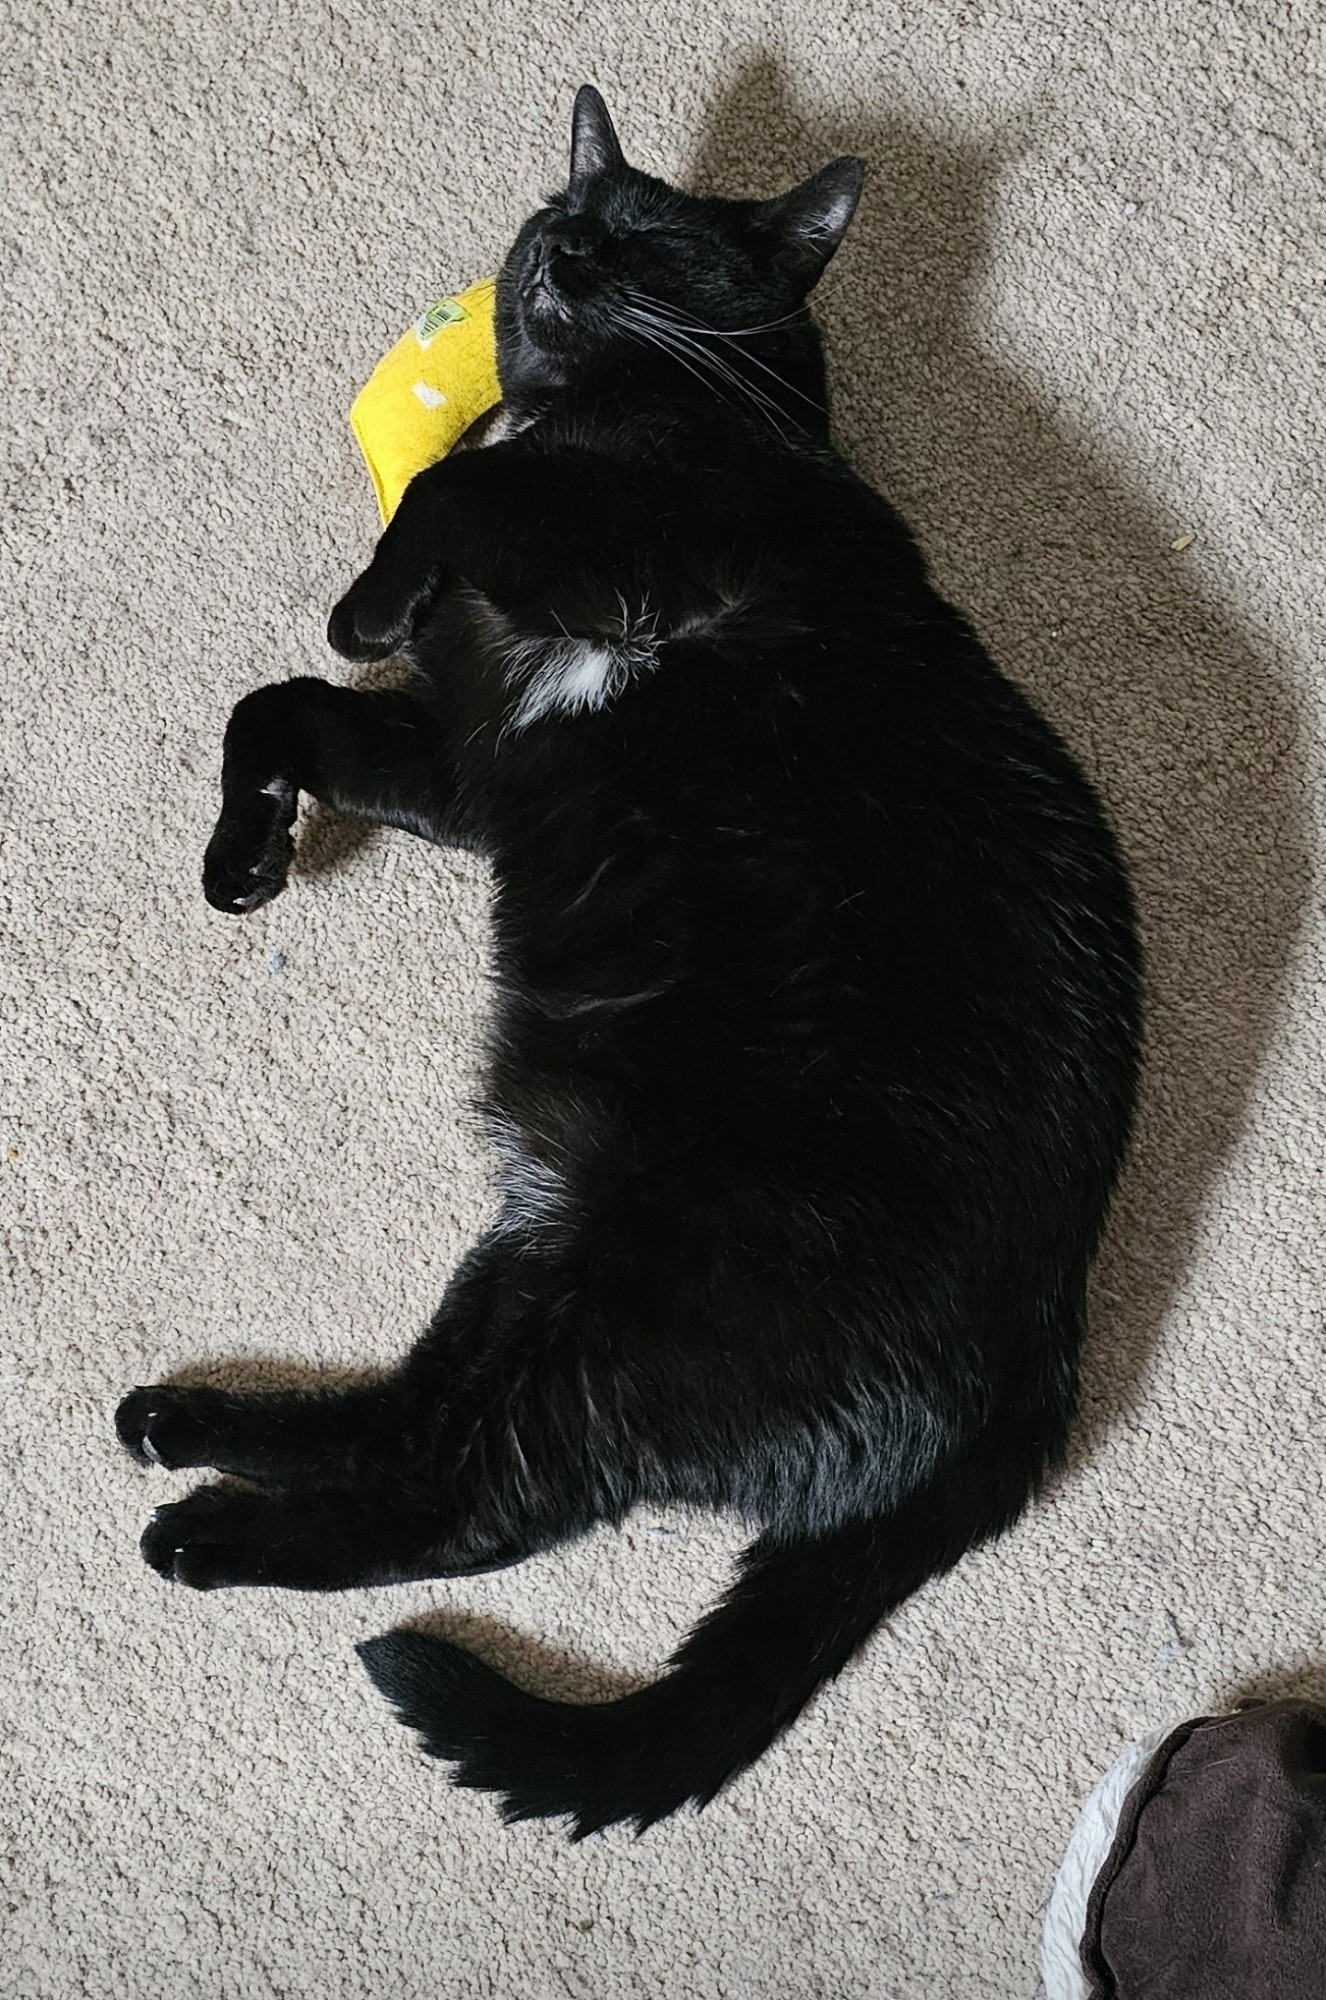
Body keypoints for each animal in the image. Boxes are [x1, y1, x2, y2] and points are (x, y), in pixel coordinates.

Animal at [119, 94, 1144, 1840]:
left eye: (659, 241)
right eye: (564, 211)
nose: (570, 249)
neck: (596, 418)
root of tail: (1034, 1376)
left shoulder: (625, 568)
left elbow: (442, 516)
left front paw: (363, 600)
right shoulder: (464, 755)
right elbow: (278, 707)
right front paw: (241, 861)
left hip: (637, 1293)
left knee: (470, 1504)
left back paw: (209, 1535)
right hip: (547, 1247)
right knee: (417, 1426)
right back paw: (184, 1425)